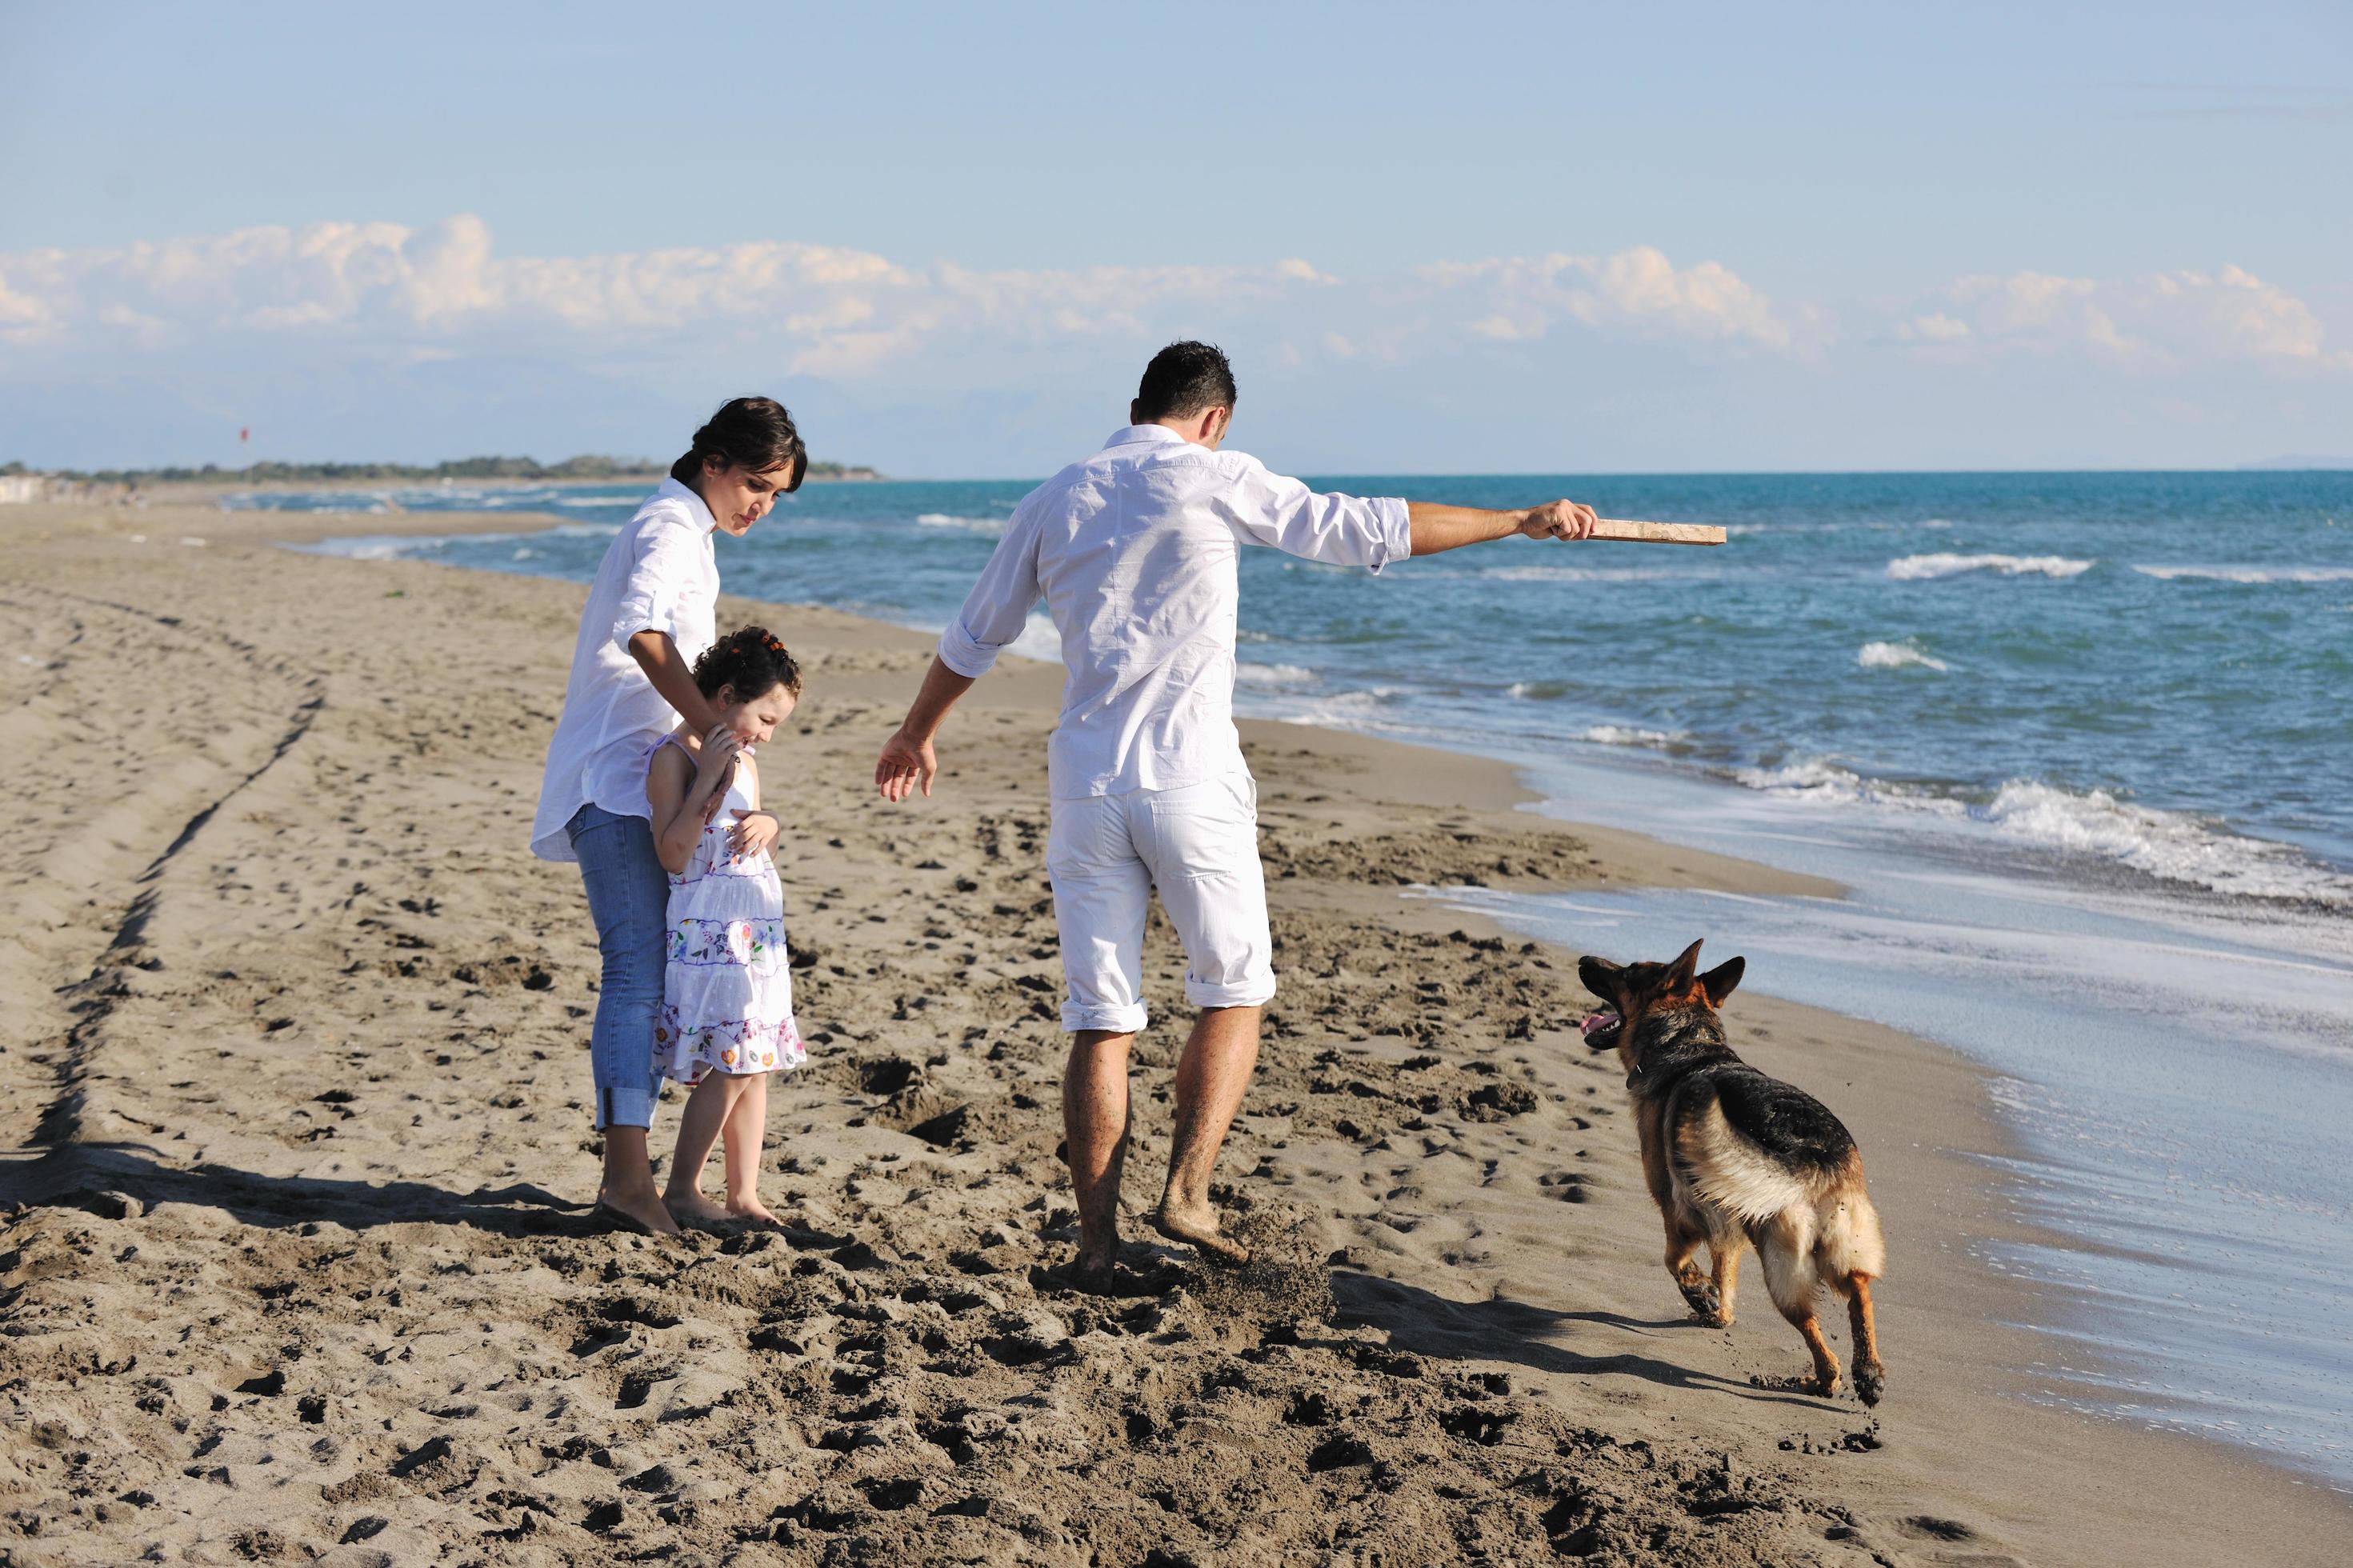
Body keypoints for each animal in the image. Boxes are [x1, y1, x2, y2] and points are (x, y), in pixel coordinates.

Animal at [1571, 932, 1882, 1394]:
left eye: (1627, 972)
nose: (1582, 959)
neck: (1689, 1042)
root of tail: (1811, 1157)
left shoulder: (1678, 1209)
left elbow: (1676, 1261)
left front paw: (1700, 1294)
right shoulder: (1728, 1217)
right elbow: (1725, 1271)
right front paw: (1720, 1314)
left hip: (1781, 1265)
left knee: (1814, 1331)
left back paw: (1822, 1380)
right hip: (1840, 1247)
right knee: (1860, 1290)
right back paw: (1868, 1371)